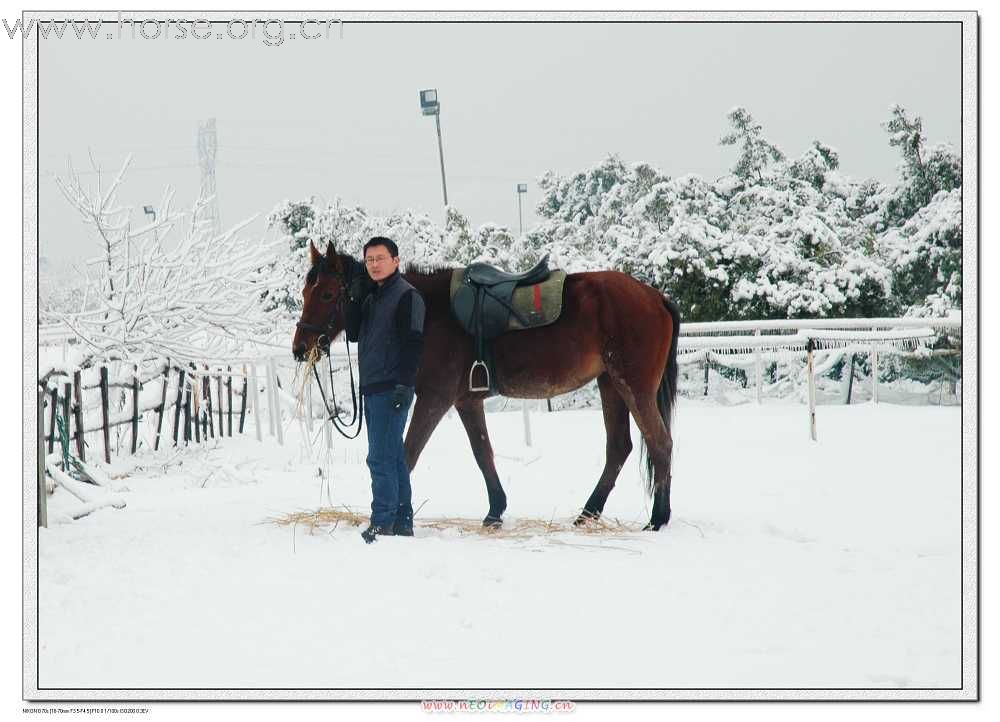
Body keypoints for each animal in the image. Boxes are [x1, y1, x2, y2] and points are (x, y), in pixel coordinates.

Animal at [290, 242, 680, 528]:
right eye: (305, 291)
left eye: (326, 295)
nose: (300, 348)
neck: (428, 312)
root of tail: (654, 296)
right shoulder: (466, 400)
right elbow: (482, 452)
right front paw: (495, 511)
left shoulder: (434, 398)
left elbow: (408, 453)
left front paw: (396, 519)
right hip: (610, 385)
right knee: (619, 448)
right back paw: (588, 513)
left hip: (633, 387)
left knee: (659, 443)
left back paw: (657, 519)